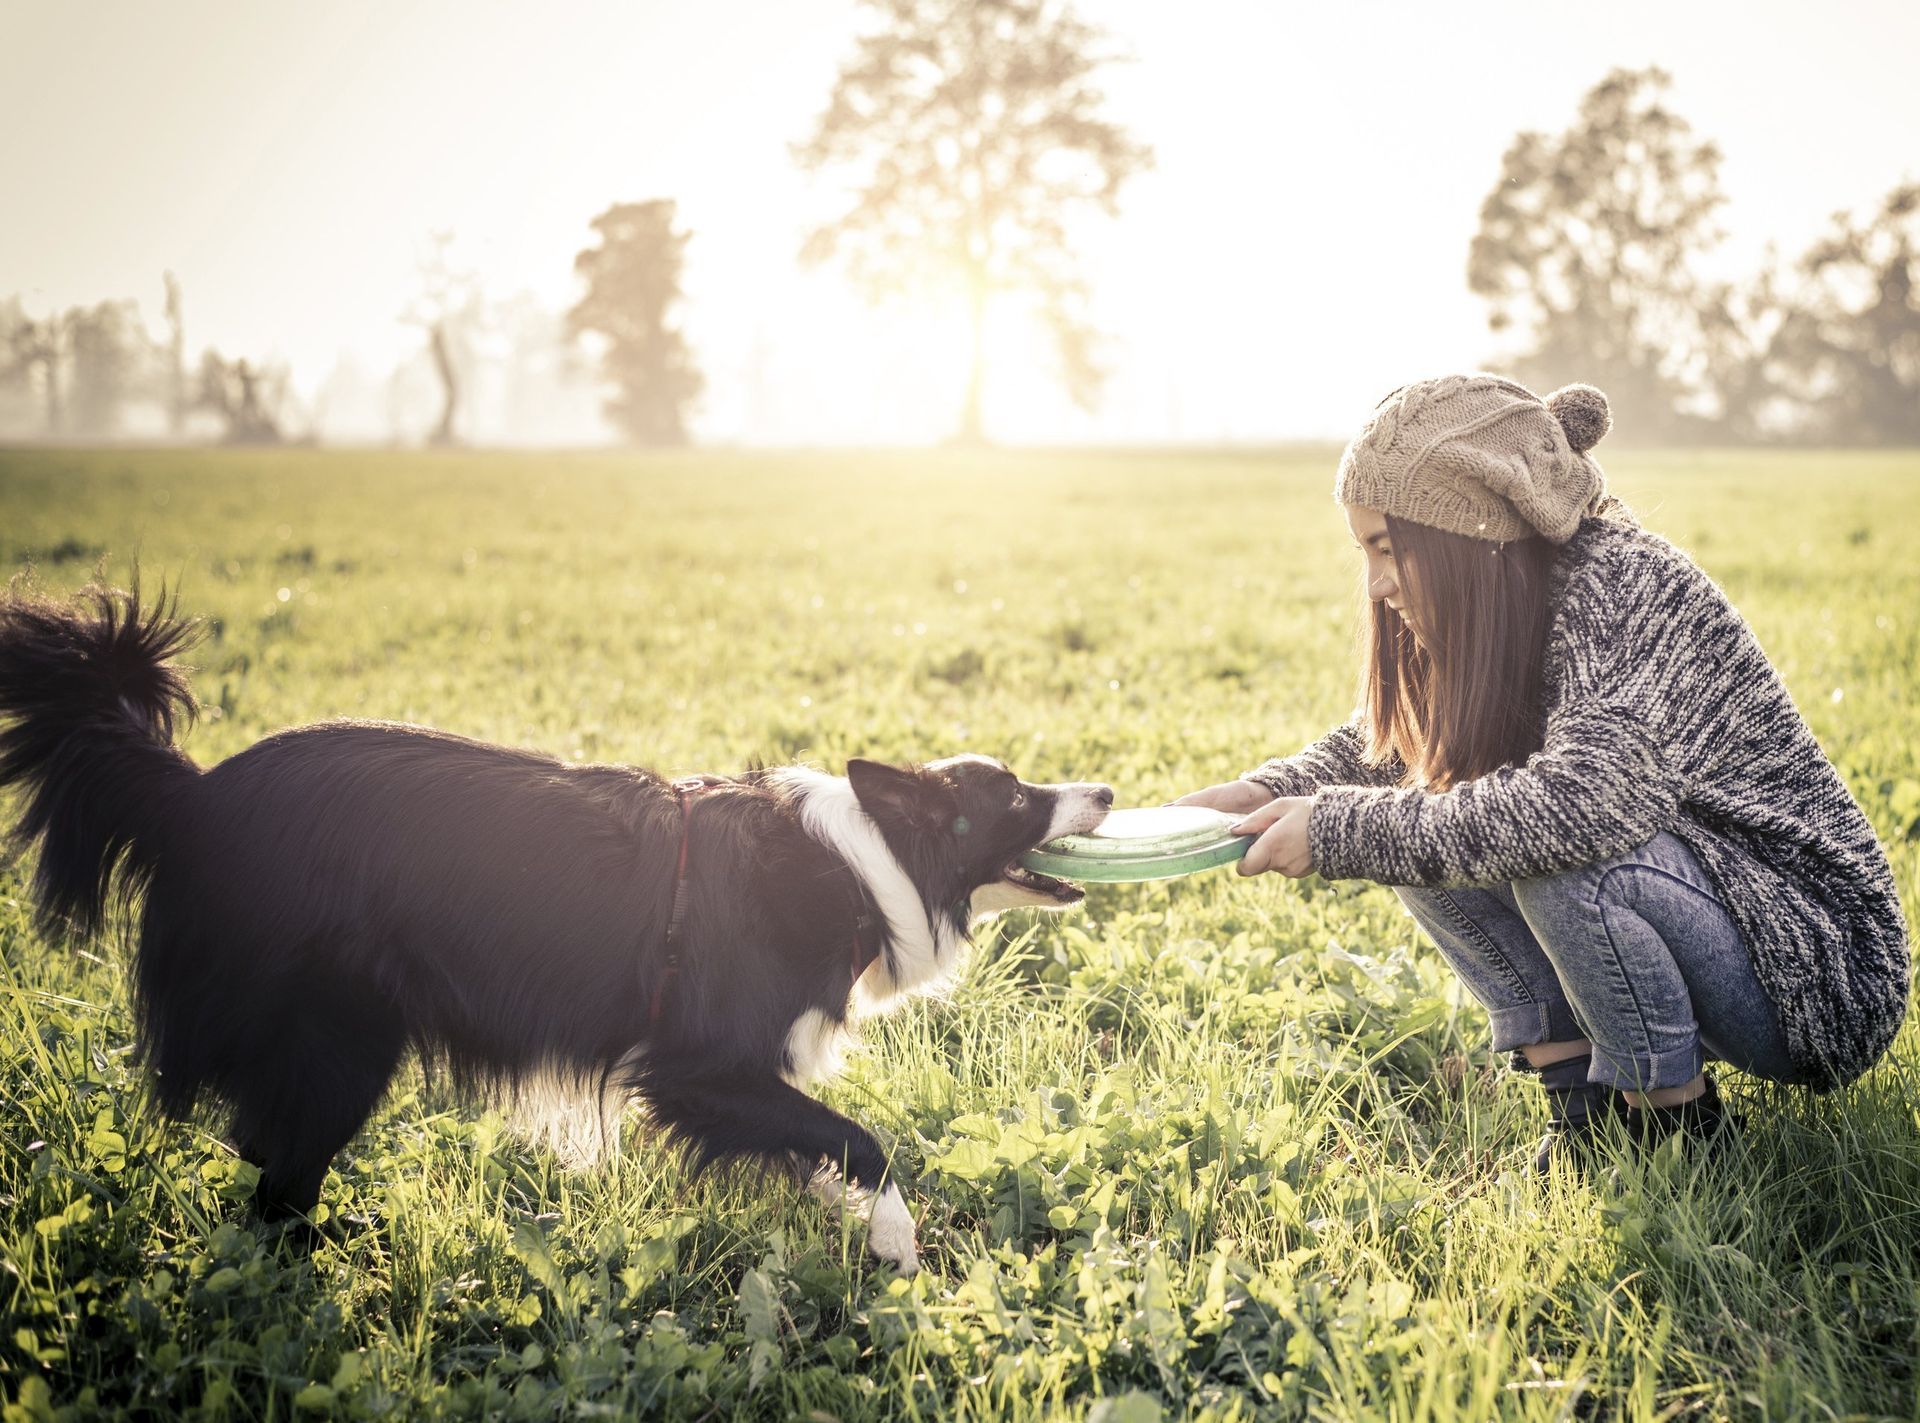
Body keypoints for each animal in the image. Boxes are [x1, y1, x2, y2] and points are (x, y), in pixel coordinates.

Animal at [0, 583, 1113, 1267]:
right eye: (1017, 796)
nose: (1101, 789)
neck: (863, 860)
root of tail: (190, 797)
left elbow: (817, 1143)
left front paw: (855, 1224)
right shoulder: (699, 1066)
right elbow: (859, 1137)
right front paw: (894, 1237)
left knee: (266, 1166)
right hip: (341, 1040)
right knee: (278, 1186)